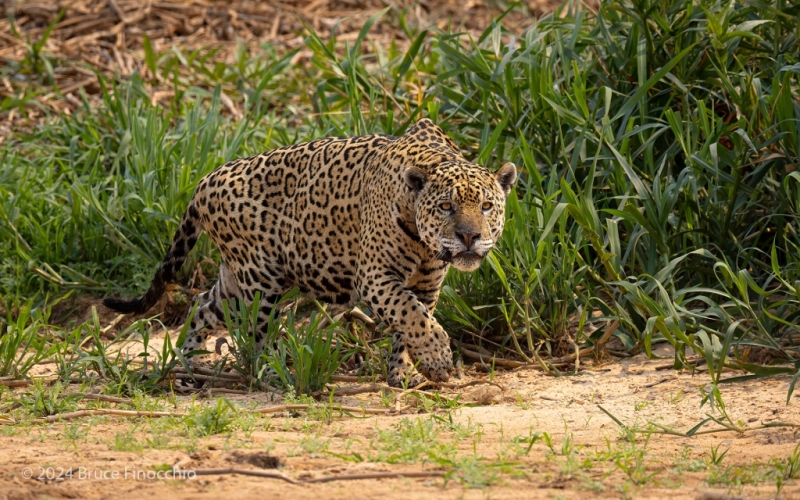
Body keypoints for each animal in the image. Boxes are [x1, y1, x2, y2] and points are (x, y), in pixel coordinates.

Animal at [104, 118, 517, 387]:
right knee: (257, 335)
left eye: (486, 206)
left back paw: (188, 365)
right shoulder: (376, 277)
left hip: (235, 281)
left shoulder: (427, 284)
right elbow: (411, 316)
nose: (468, 236)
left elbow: (412, 322)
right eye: (446, 207)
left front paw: (407, 373)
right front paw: (437, 358)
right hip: (259, 281)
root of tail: (206, 179)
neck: (423, 244)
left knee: (202, 303)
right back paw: (274, 375)